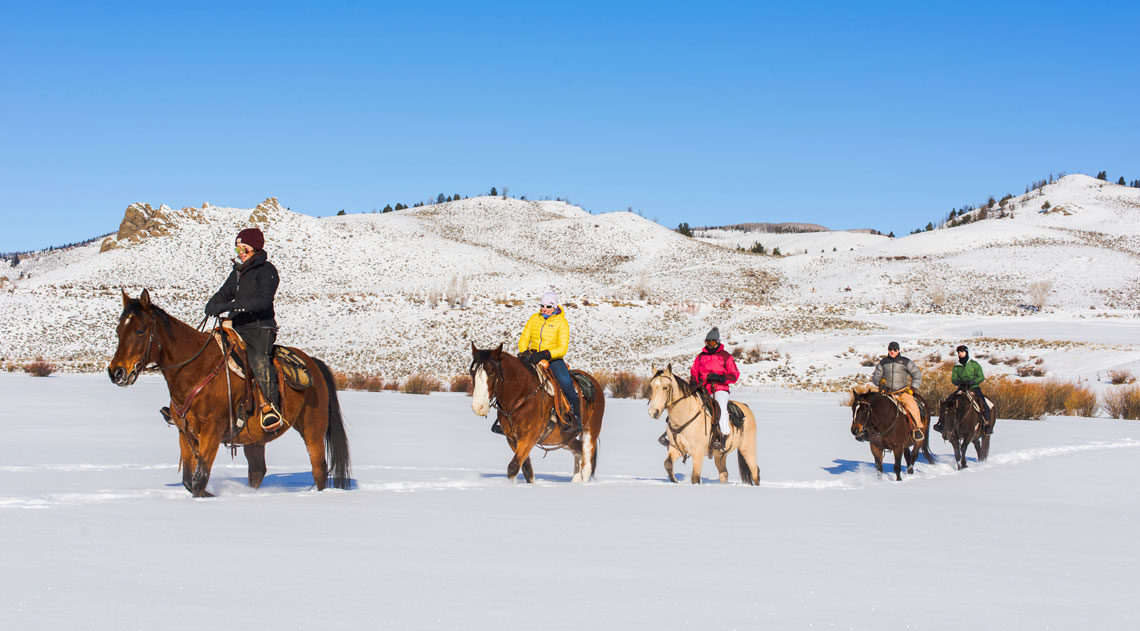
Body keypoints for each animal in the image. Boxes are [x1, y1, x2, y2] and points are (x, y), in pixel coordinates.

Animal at [107, 287, 348, 494]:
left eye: (140, 330)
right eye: (119, 330)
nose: (116, 372)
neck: (197, 368)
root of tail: (314, 364)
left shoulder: (212, 431)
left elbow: (199, 480)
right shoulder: (185, 433)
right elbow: (188, 481)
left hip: (312, 429)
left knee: (319, 470)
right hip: (255, 439)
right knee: (257, 472)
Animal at [467, 341, 606, 478]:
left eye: (491, 372)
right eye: (472, 372)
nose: (478, 407)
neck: (522, 395)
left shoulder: (530, 436)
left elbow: (513, 467)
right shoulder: (512, 439)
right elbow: (526, 469)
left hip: (590, 432)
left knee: (586, 466)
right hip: (565, 438)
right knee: (578, 451)